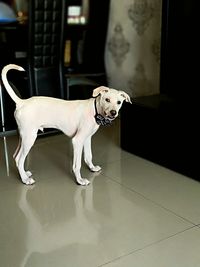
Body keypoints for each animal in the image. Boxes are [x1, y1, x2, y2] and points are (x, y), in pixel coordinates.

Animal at [1, 65, 132, 186]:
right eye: (107, 100)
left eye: (119, 102)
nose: (113, 113)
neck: (95, 111)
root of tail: (22, 102)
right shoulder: (77, 141)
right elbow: (77, 165)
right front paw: (79, 180)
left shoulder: (87, 138)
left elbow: (88, 156)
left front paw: (92, 168)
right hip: (29, 138)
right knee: (19, 159)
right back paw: (25, 180)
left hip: (23, 137)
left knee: (15, 156)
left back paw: (24, 174)